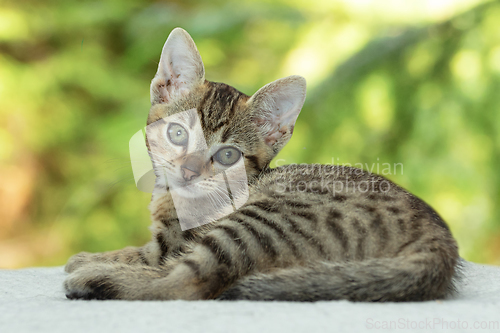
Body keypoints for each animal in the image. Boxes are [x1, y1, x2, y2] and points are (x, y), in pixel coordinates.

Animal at [64, 26, 458, 300]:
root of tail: (439, 239)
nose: (189, 171)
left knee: (189, 281)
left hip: (263, 220)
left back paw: (95, 280)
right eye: (177, 133)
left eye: (228, 155)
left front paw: (89, 260)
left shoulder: (172, 242)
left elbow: (143, 254)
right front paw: (92, 256)